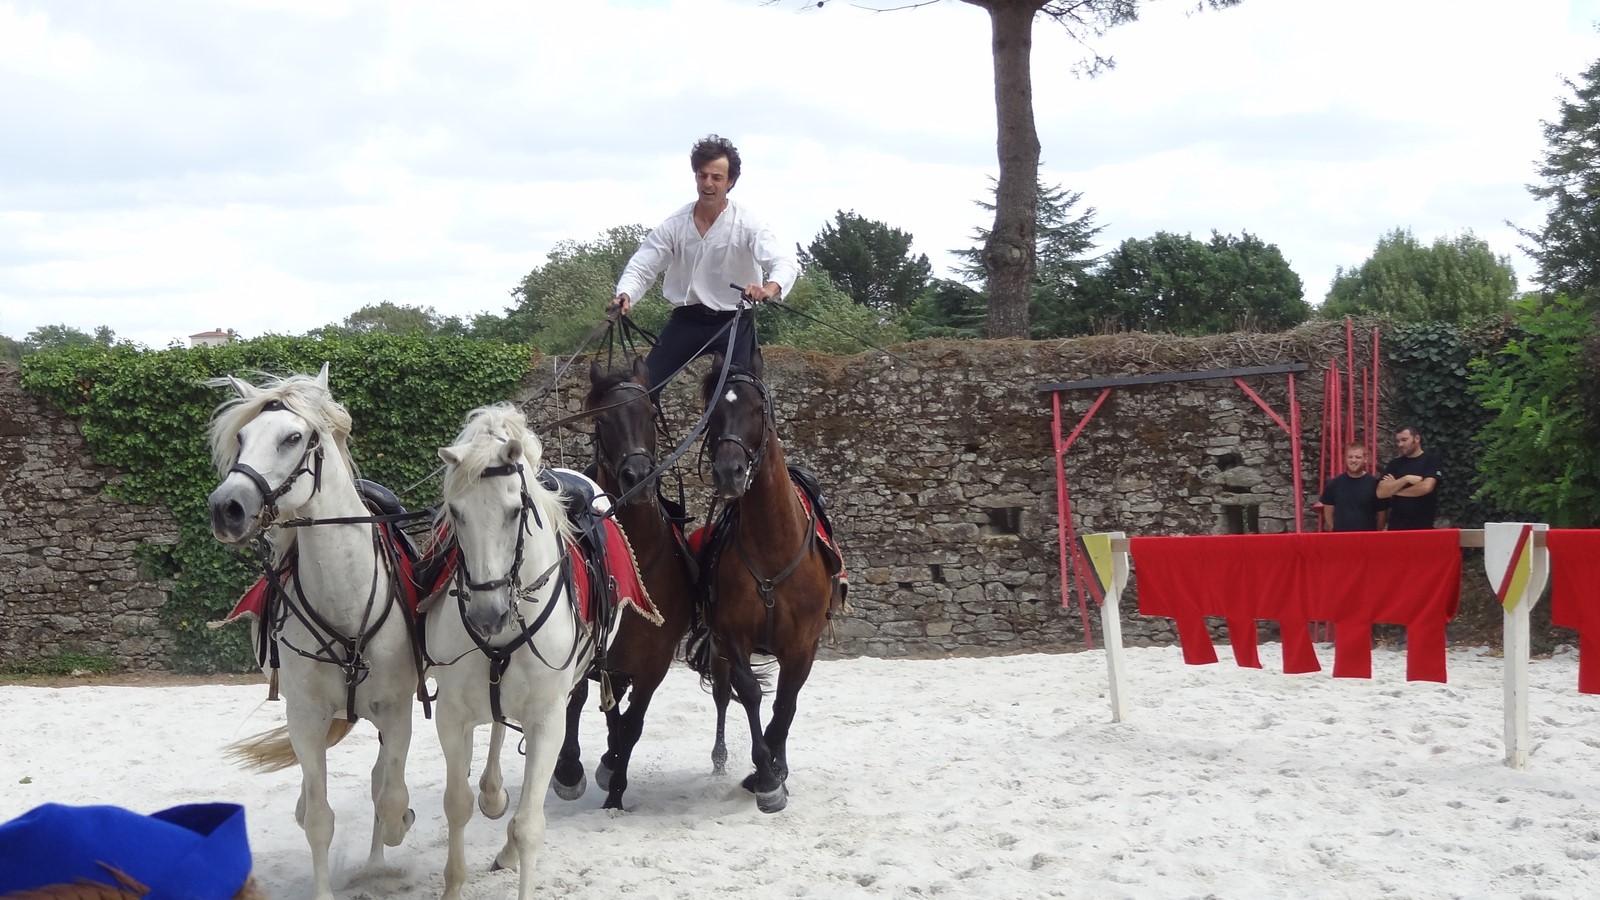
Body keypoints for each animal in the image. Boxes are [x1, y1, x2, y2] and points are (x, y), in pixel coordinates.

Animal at [205, 365, 420, 900]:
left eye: (293, 437)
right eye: (241, 438)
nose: (226, 508)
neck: (345, 596)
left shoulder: (397, 712)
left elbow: (389, 798)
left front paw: (397, 828)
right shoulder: (304, 717)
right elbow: (320, 819)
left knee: (380, 782)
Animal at [425, 403, 605, 900]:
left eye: (513, 512)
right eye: (455, 512)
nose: (489, 614)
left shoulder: (547, 721)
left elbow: (528, 826)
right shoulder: (451, 716)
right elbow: (456, 804)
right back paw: (492, 792)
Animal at [551, 358, 696, 809]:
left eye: (650, 414)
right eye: (601, 420)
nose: (638, 476)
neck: (640, 561)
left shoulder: (654, 664)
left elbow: (631, 724)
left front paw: (614, 793)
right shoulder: (591, 648)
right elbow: (577, 703)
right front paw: (569, 771)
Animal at [689, 347, 843, 813]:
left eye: (758, 409)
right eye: (712, 411)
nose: (729, 472)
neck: (773, 545)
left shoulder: (803, 645)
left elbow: (785, 705)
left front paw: (774, 769)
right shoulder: (733, 636)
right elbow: (752, 696)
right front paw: (766, 775)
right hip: (718, 647)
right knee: (724, 695)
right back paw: (721, 758)